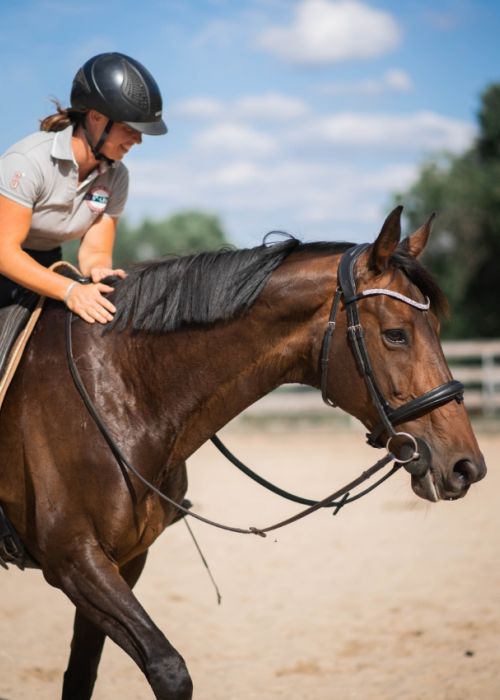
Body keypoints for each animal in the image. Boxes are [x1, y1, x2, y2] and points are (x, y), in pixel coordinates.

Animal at [0, 205, 486, 696]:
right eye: (395, 335)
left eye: (436, 329)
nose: (467, 466)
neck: (122, 387)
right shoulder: (74, 559)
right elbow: (168, 668)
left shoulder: (125, 559)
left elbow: (82, 672)